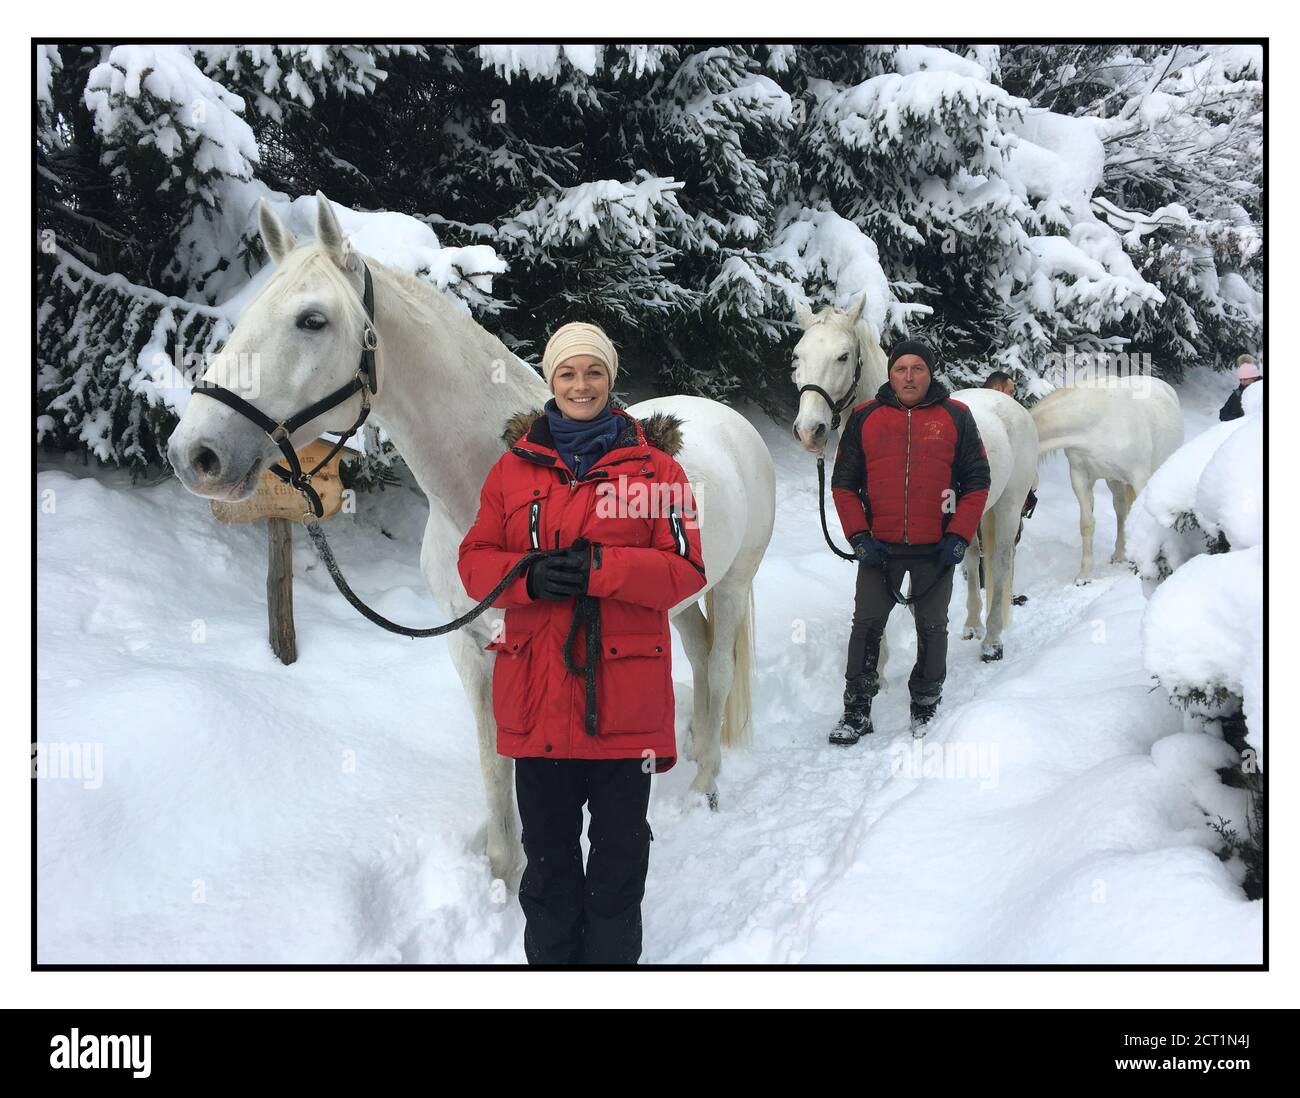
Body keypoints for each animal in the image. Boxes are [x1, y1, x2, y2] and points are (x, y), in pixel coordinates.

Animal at [162, 192, 769, 883]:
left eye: (312, 320)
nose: (194, 454)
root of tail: (729, 421)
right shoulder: (471, 650)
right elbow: (492, 762)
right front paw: (504, 872)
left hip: (733, 584)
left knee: (718, 669)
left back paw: (705, 786)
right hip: (676, 600)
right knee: (697, 652)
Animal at [1029, 374, 1185, 582]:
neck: (1096, 422)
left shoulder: (1139, 477)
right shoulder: (1080, 477)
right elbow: (1087, 524)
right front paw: (1084, 576)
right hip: (1114, 480)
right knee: (1121, 511)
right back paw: (1119, 554)